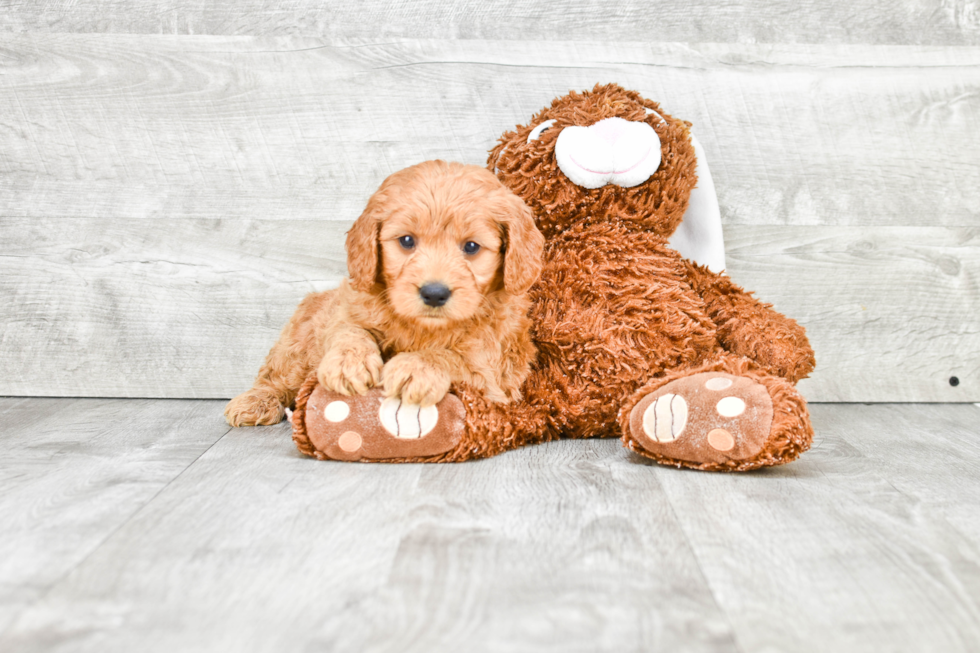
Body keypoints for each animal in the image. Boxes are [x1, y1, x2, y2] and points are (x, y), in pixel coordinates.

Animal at [224, 160, 544, 428]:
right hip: (296, 345)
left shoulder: (490, 368)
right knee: (276, 376)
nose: (434, 293)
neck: (423, 327)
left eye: (472, 247)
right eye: (407, 241)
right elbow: (348, 330)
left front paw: (415, 368)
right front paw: (348, 362)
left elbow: (452, 357)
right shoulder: (348, 308)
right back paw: (255, 401)